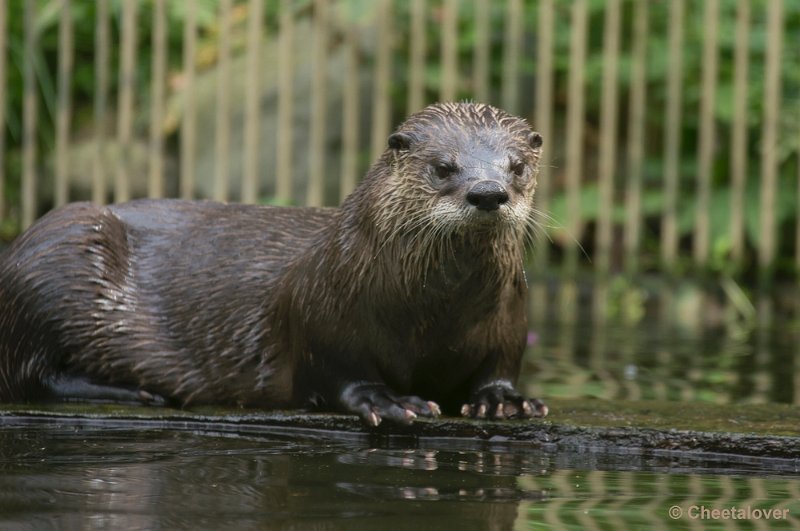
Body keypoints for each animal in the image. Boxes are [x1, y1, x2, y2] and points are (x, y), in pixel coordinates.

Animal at [0, 102, 548, 426]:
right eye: (443, 167)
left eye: (517, 166)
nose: (488, 192)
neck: (432, 316)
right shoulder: (322, 308)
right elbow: (334, 371)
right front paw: (388, 400)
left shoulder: (511, 316)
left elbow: (499, 364)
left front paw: (506, 399)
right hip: (61, 248)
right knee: (30, 374)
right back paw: (139, 392)